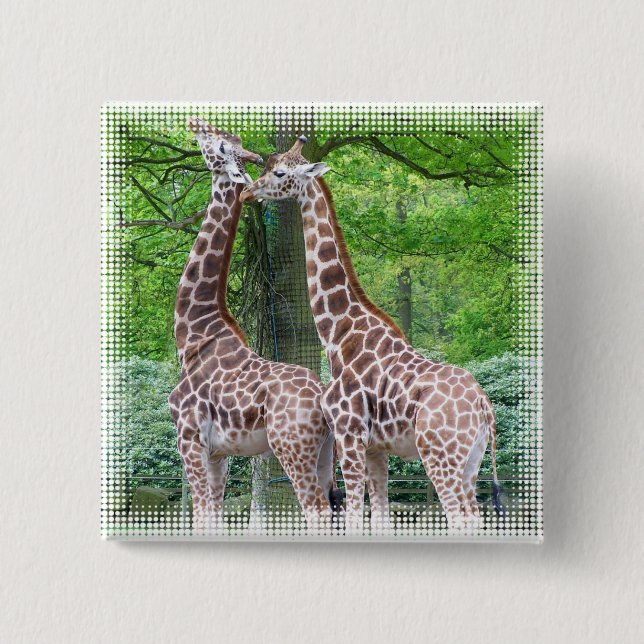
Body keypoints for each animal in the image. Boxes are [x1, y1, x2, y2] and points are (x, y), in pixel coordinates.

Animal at [168, 119, 335, 535]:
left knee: (316, 510)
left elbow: (203, 515)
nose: (194, 123)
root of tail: (323, 397)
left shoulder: (189, 438)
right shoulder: (219, 452)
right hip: (326, 454)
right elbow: (213, 517)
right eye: (229, 140)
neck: (194, 332)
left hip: (292, 448)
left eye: (218, 144)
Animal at [240, 136, 504, 535]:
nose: (247, 192)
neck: (338, 334)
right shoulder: (376, 448)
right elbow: (380, 518)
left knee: (459, 517)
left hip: (440, 455)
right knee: (473, 517)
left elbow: (352, 517)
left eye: (280, 172)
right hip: (471, 461)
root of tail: (484, 405)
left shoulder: (349, 434)